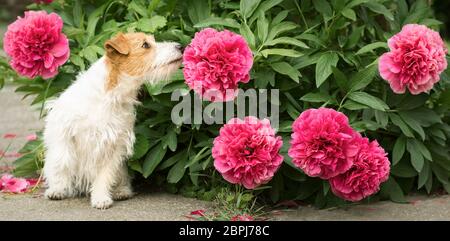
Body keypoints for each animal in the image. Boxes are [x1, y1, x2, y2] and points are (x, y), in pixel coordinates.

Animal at [42, 32, 183, 209]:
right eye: (145, 45)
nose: (180, 46)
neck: (110, 96)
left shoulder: (114, 145)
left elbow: (105, 175)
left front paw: (100, 197)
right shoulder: (64, 135)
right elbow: (62, 162)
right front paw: (58, 188)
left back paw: (121, 191)